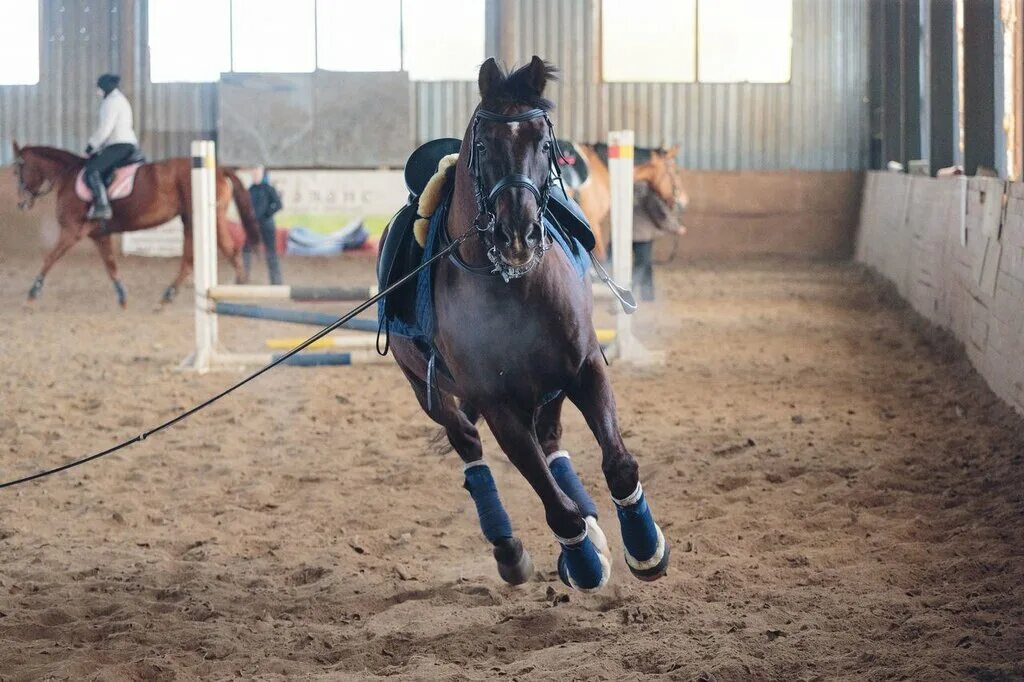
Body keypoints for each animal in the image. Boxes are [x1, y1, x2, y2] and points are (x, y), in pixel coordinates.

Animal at [11, 142, 260, 307]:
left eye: (17, 171)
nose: (21, 204)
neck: (69, 175)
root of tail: (218, 169)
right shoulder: (98, 234)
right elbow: (110, 265)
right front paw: (122, 297)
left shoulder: (73, 231)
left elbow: (49, 258)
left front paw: (32, 293)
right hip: (191, 220)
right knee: (193, 258)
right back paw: (169, 295)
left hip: (206, 219)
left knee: (228, 250)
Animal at [387, 57, 667, 589]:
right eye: (482, 145)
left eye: (544, 142)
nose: (518, 234)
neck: (514, 285)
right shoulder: (497, 406)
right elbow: (555, 507)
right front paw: (583, 563)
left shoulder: (584, 367)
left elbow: (619, 465)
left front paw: (645, 549)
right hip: (426, 390)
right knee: (468, 444)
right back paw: (511, 549)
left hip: (550, 386)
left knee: (552, 439)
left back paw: (596, 531)